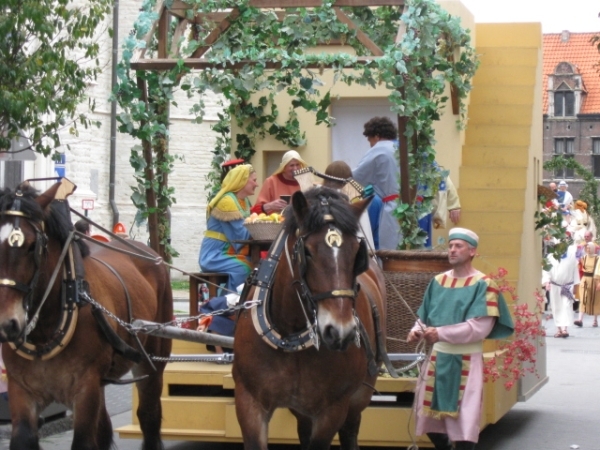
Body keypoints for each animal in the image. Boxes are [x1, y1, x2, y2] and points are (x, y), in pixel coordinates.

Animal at [0, 181, 172, 448]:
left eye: (31, 247)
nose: (7, 324)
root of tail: (151, 254)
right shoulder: (21, 390)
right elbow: (23, 437)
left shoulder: (85, 390)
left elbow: (83, 440)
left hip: (151, 362)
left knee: (149, 417)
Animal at [234, 186, 390, 450]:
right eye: (306, 252)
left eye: (355, 254)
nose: (340, 331)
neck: (289, 336)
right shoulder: (249, 403)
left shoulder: (332, 410)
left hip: (359, 396)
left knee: (350, 431)